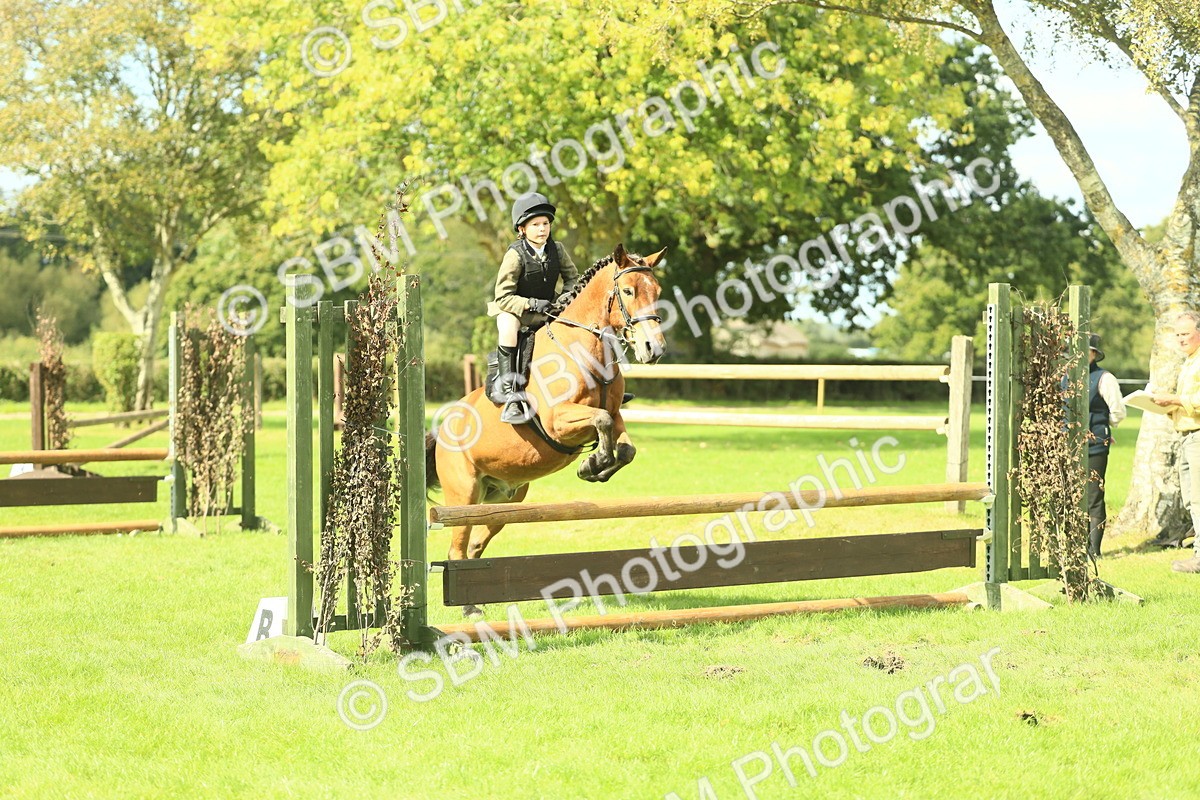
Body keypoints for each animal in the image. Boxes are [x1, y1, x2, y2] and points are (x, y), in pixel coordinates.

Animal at [426, 243, 667, 614]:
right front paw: (592, 464)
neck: (586, 348)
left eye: (657, 291)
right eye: (628, 291)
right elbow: (601, 421)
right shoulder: (558, 422)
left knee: (477, 540)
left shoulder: (615, 413)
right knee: (458, 543)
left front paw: (595, 466)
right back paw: (469, 609)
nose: (654, 349)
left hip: (505, 499)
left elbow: (624, 445)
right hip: (463, 494)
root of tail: (443, 429)